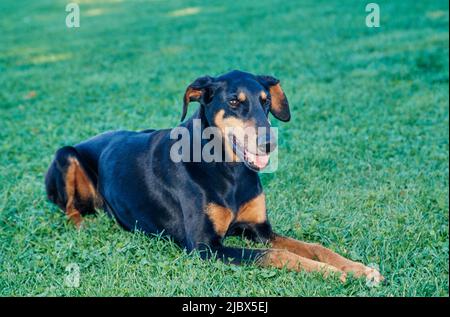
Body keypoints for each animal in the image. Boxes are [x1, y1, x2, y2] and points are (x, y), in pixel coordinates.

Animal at [44, 69, 384, 282]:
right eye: (234, 101)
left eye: (266, 102)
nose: (269, 143)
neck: (228, 170)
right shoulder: (205, 247)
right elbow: (276, 255)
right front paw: (333, 273)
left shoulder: (260, 229)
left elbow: (313, 247)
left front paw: (357, 269)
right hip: (65, 154)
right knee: (69, 208)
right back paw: (82, 225)